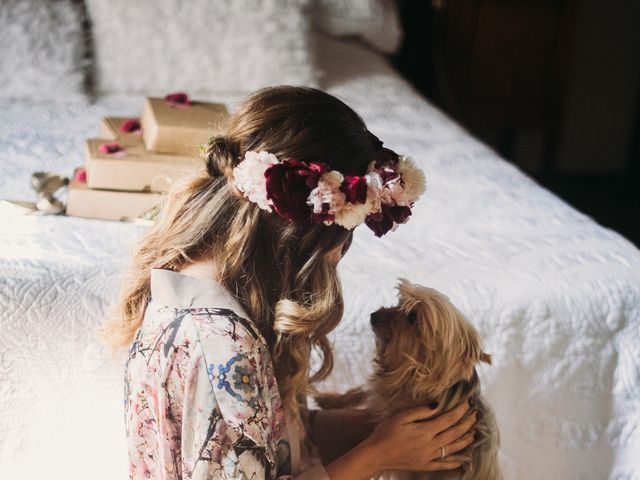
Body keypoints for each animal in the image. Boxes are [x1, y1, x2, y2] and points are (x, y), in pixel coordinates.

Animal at [318, 280, 502, 478]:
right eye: (399, 303)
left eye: (413, 317)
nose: (373, 315)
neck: (411, 374)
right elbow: (364, 391)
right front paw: (329, 400)